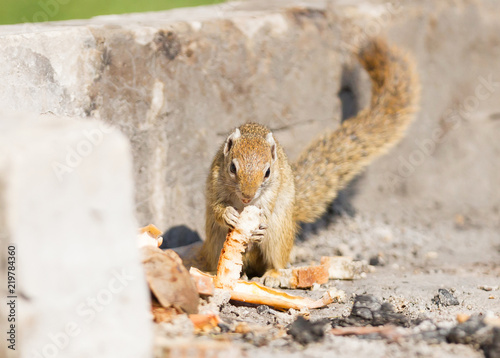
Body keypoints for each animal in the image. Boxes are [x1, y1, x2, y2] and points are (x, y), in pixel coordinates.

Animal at [197, 38, 420, 276]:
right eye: (232, 168)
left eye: (267, 173)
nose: (248, 197)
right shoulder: (214, 182)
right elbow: (216, 206)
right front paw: (228, 214)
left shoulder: (273, 192)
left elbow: (267, 208)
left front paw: (260, 226)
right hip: (215, 238)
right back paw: (215, 273)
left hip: (279, 233)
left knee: (277, 260)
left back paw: (273, 274)